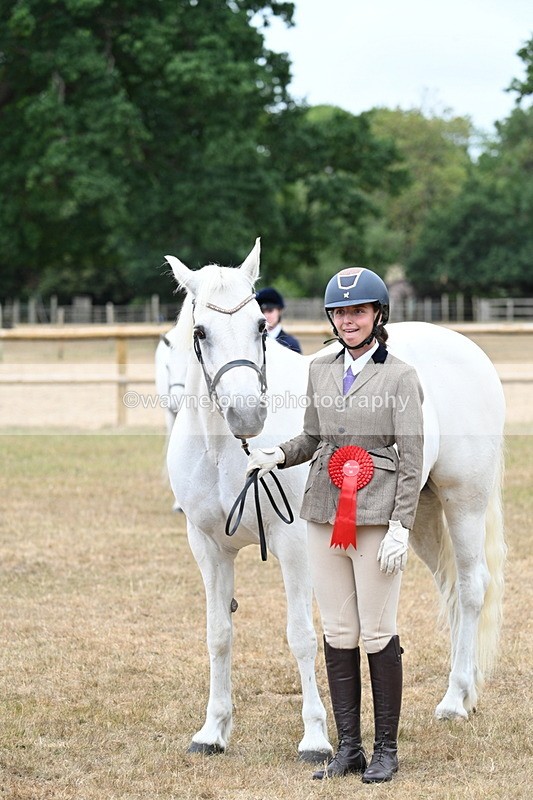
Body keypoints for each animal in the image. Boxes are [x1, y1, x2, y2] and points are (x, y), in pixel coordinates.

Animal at [164, 239, 506, 757]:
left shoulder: (294, 546)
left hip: (463, 501)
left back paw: (454, 701)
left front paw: (314, 738)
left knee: (470, 589)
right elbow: (218, 634)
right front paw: (212, 731)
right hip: (418, 517)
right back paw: (461, 694)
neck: (226, 450)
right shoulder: (206, 547)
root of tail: (465, 347)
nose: (248, 415)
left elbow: (303, 636)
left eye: (260, 326)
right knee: (449, 588)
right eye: (200, 331)